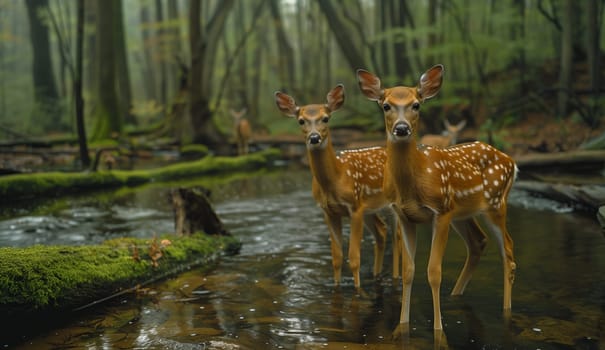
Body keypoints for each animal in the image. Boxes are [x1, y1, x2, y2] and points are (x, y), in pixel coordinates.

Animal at [274, 84, 402, 288]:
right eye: (301, 121)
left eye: (326, 118)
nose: (314, 137)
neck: (336, 178)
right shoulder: (329, 211)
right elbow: (336, 258)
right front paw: (337, 286)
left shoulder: (354, 208)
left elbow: (354, 258)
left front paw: (357, 288)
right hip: (370, 208)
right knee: (381, 232)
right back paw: (376, 275)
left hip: (392, 202)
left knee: (397, 238)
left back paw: (396, 278)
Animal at [356, 66, 516, 334]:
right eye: (386, 105)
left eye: (416, 104)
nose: (401, 128)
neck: (414, 183)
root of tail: (512, 162)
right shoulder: (404, 215)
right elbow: (409, 271)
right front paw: (402, 325)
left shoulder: (440, 211)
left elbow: (433, 272)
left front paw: (439, 330)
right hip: (463, 212)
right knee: (478, 242)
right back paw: (457, 295)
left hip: (494, 203)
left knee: (508, 252)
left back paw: (506, 312)